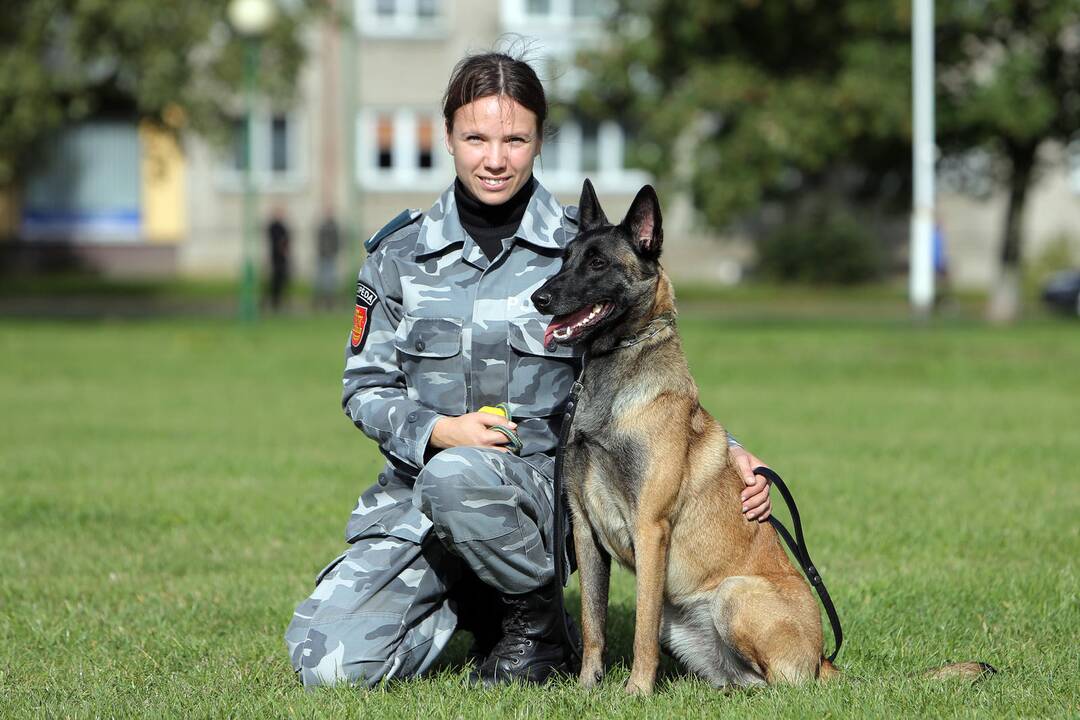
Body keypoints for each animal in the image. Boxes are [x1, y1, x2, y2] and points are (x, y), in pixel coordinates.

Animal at [531, 181, 989, 699]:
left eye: (597, 263)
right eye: (565, 258)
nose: (539, 298)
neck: (615, 379)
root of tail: (823, 659)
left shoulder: (650, 529)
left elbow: (641, 630)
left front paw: (637, 693)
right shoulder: (586, 532)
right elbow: (594, 624)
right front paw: (587, 688)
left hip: (734, 595)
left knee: (789, 685)